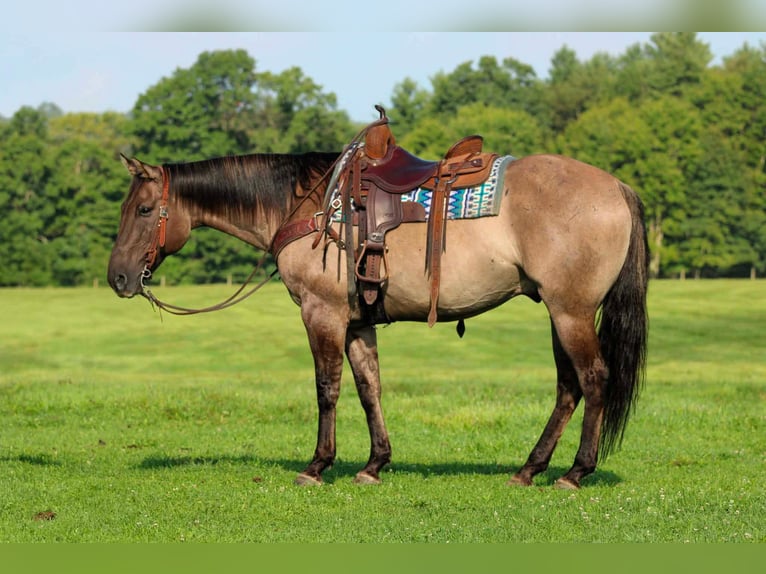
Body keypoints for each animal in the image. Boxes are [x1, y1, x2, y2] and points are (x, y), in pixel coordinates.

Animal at [107, 131, 648, 490]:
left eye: (142, 210)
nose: (118, 278)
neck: (306, 205)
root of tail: (617, 187)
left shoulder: (321, 314)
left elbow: (327, 389)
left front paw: (317, 465)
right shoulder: (357, 324)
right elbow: (370, 389)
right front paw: (374, 464)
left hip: (571, 312)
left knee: (593, 378)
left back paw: (575, 472)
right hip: (559, 313)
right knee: (568, 387)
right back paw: (530, 468)